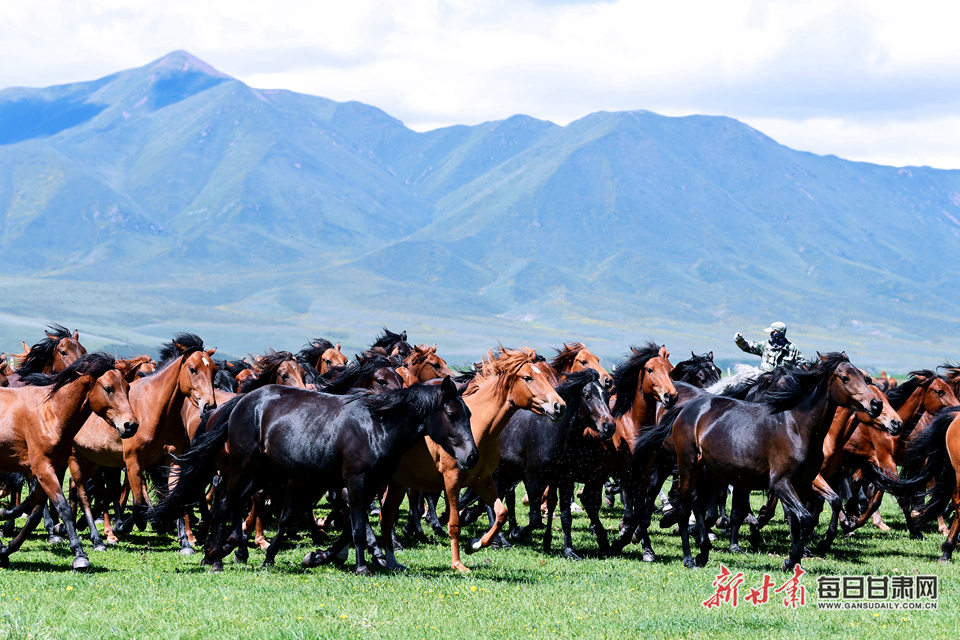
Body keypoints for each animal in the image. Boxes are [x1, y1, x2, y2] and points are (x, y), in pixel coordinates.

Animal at [0, 352, 139, 568]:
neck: (51, 414)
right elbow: (63, 507)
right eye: (108, 388)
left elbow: (35, 514)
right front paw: (80, 555)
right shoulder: (42, 468)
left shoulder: (54, 469)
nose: (130, 425)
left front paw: (6, 550)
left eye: (128, 387)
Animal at [380, 348, 568, 572]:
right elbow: (454, 523)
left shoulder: (483, 480)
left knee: (386, 514)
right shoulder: (451, 481)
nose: (559, 406)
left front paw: (474, 545)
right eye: (528, 377)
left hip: (397, 483)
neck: (479, 427)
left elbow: (500, 513)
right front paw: (457, 564)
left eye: (546, 376)